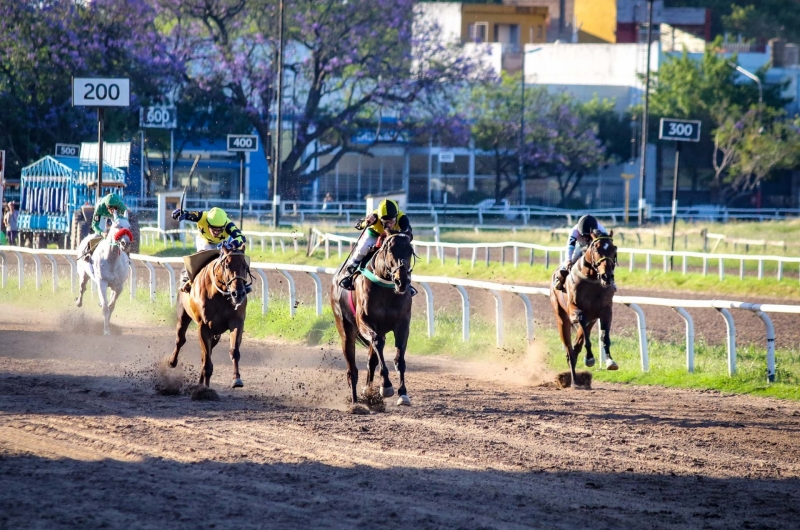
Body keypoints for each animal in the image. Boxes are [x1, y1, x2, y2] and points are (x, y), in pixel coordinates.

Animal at [170, 244, 252, 388]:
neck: (220, 294)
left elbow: (234, 350)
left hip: (216, 334)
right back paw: (172, 362)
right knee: (180, 340)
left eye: (245, 266)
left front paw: (236, 379)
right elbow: (207, 359)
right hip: (183, 315)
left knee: (205, 353)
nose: (239, 293)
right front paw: (205, 386)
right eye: (227, 265)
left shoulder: (237, 321)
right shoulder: (204, 326)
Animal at [332, 231, 416, 404]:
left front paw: (403, 393)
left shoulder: (403, 324)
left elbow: (399, 358)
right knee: (352, 370)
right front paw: (386, 386)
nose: (402, 281)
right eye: (390, 250)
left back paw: (368, 391)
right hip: (345, 329)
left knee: (372, 360)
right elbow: (377, 342)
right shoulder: (365, 322)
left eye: (410, 251)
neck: (386, 289)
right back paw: (355, 402)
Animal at [552, 229, 620, 386]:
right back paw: (574, 381)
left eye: (614, 249)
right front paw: (589, 358)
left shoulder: (606, 311)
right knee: (569, 349)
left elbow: (604, 336)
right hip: (561, 318)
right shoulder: (575, 310)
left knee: (576, 347)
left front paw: (610, 361)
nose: (607, 276)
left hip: (592, 319)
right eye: (596, 248)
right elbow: (585, 336)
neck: (592, 280)